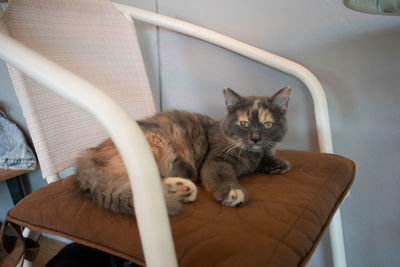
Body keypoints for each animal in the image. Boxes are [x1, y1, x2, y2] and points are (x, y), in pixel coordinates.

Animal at [76, 88, 290, 218]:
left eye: (267, 125)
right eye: (244, 123)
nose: (255, 138)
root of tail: (87, 157)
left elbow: (265, 158)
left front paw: (278, 164)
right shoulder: (216, 161)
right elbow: (223, 178)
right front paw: (233, 193)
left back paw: (181, 190)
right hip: (155, 144)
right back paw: (181, 188)